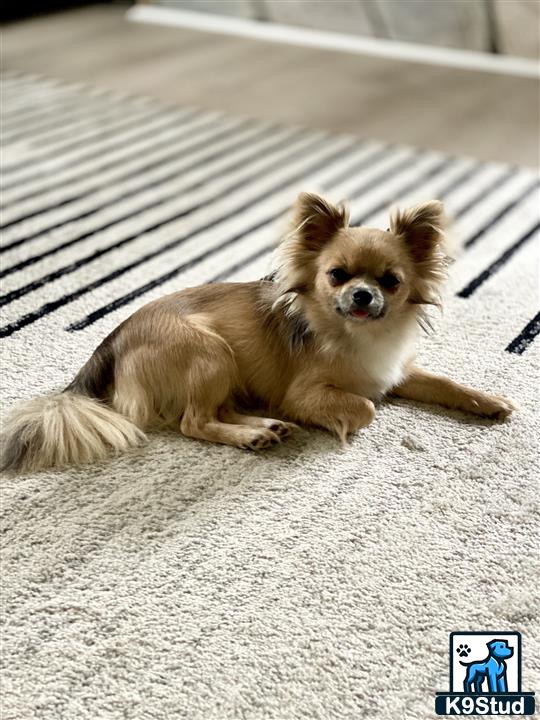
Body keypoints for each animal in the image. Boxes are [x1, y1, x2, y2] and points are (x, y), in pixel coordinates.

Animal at [1, 193, 516, 472]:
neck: (356, 335)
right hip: (210, 352)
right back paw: (251, 436)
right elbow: (365, 408)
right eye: (337, 276)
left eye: (390, 282)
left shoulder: (396, 371)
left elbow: (444, 383)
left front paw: (489, 401)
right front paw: (343, 422)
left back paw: (264, 427)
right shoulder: (305, 393)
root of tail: (112, 340)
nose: (362, 296)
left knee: (218, 410)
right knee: (193, 421)